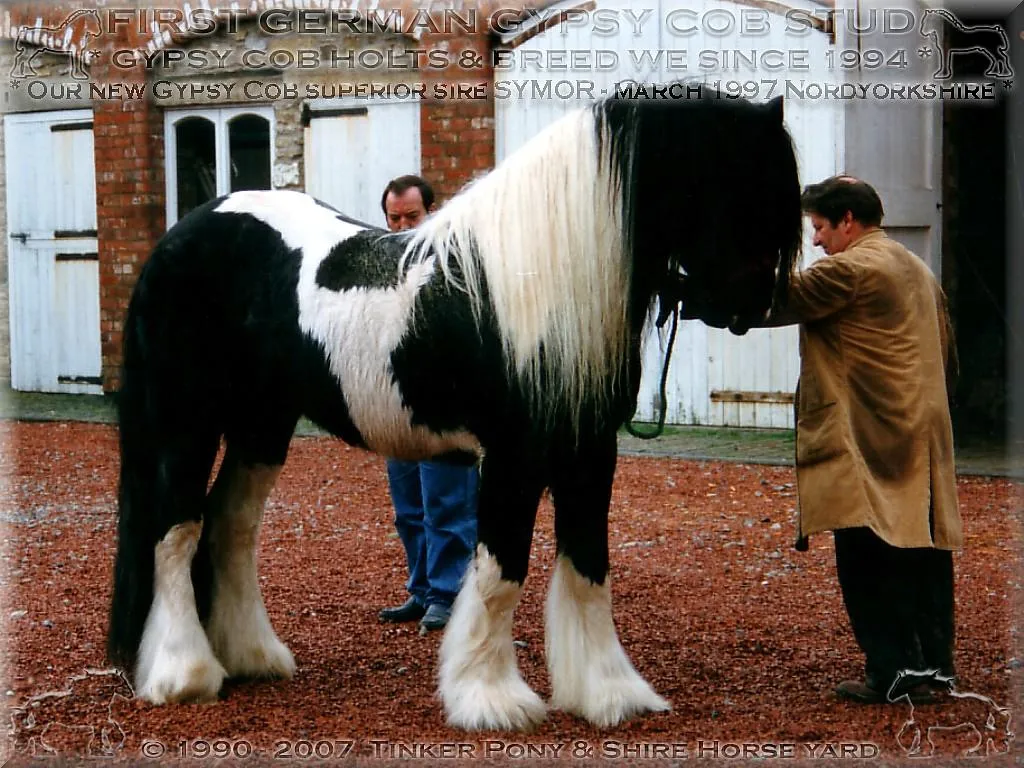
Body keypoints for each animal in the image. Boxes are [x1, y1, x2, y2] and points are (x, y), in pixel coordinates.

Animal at [108, 87, 802, 729]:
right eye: (739, 185)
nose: (750, 308)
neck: (540, 282)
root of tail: (179, 237)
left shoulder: (588, 452)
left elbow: (588, 568)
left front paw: (608, 693)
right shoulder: (515, 455)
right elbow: (501, 573)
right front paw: (490, 698)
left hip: (262, 426)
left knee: (231, 526)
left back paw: (252, 657)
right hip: (186, 423)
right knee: (176, 529)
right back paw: (183, 673)